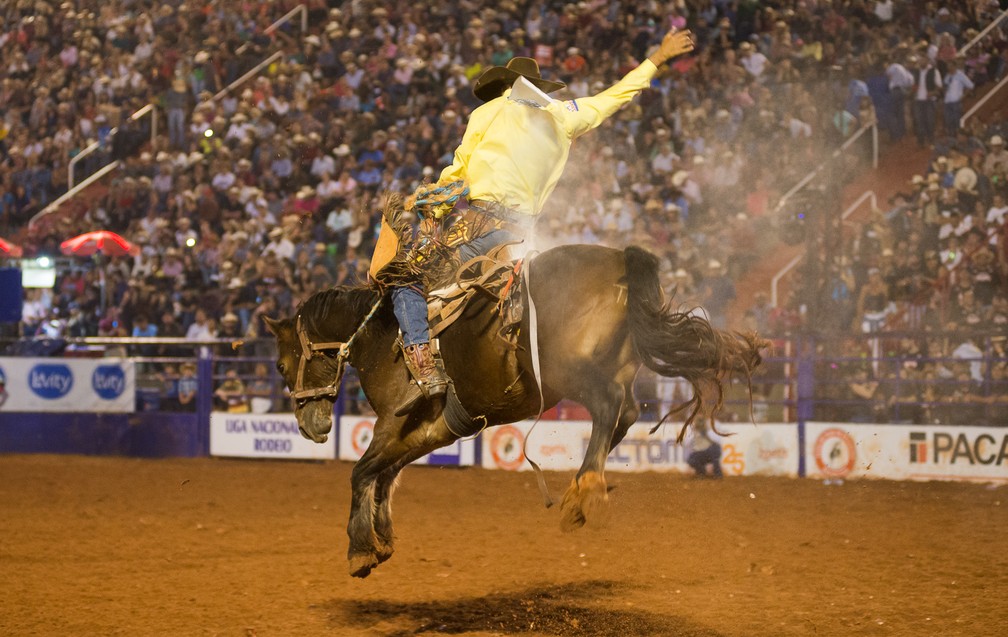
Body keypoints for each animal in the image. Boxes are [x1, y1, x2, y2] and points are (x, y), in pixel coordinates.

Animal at [268, 242, 762, 576]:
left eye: (279, 364)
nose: (310, 427)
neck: (384, 339)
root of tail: (620, 258)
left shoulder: (392, 424)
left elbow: (361, 472)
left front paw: (359, 551)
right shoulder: (429, 431)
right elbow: (385, 474)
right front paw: (383, 541)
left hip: (572, 372)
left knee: (608, 409)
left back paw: (583, 494)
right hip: (614, 368)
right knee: (623, 417)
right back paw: (584, 490)